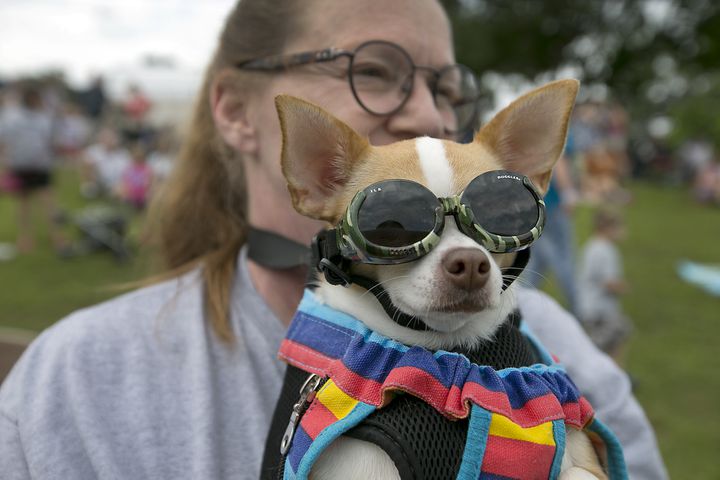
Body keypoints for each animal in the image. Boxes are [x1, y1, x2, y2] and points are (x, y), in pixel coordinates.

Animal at [272, 79, 612, 480]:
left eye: (503, 212)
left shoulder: (582, 455)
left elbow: (577, 472)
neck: (449, 354)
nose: (470, 262)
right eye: (390, 225)